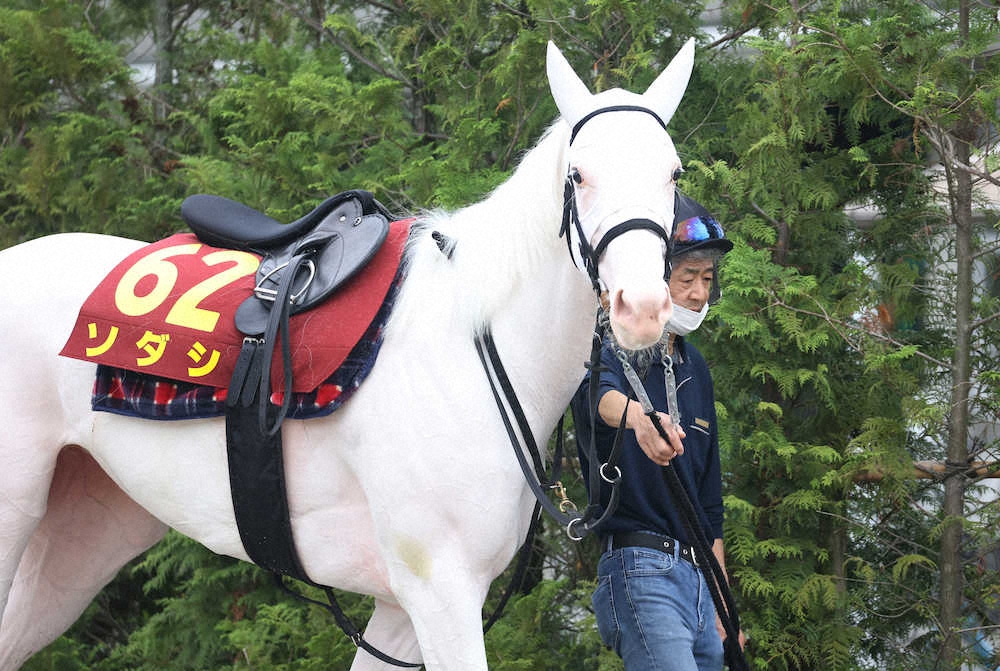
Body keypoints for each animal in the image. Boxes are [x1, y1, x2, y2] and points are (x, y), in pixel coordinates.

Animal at [0, 39, 694, 670]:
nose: (640, 306)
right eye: (579, 175)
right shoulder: (439, 594)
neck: (469, 350)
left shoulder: (402, 611)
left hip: (88, 531)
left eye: (673, 173)